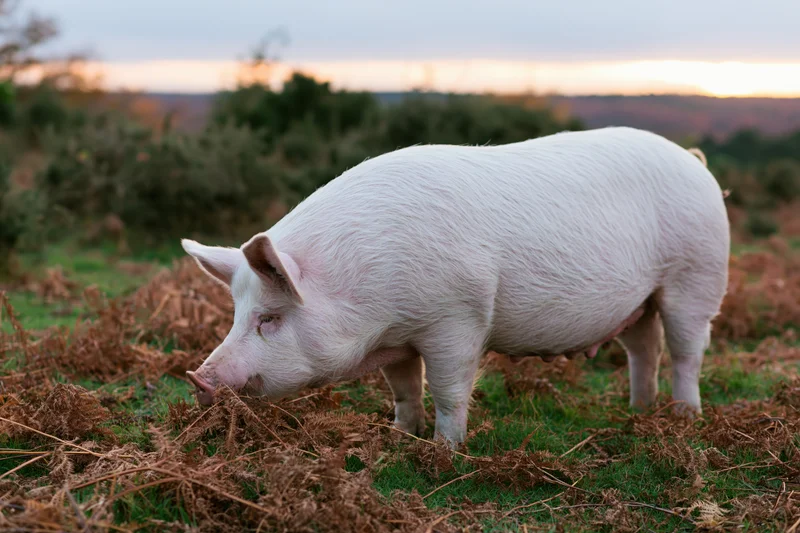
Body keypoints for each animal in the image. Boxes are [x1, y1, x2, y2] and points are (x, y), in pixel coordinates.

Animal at [183, 126, 730, 447]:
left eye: (270, 318)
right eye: (237, 314)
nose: (199, 378)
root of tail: (695, 161)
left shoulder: (458, 317)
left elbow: (447, 389)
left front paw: (446, 453)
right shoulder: (397, 337)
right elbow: (404, 388)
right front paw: (399, 437)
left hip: (695, 275)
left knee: (687, 350)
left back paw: (685, 418)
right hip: (640, 300)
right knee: (645, 346)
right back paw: (639, 410)